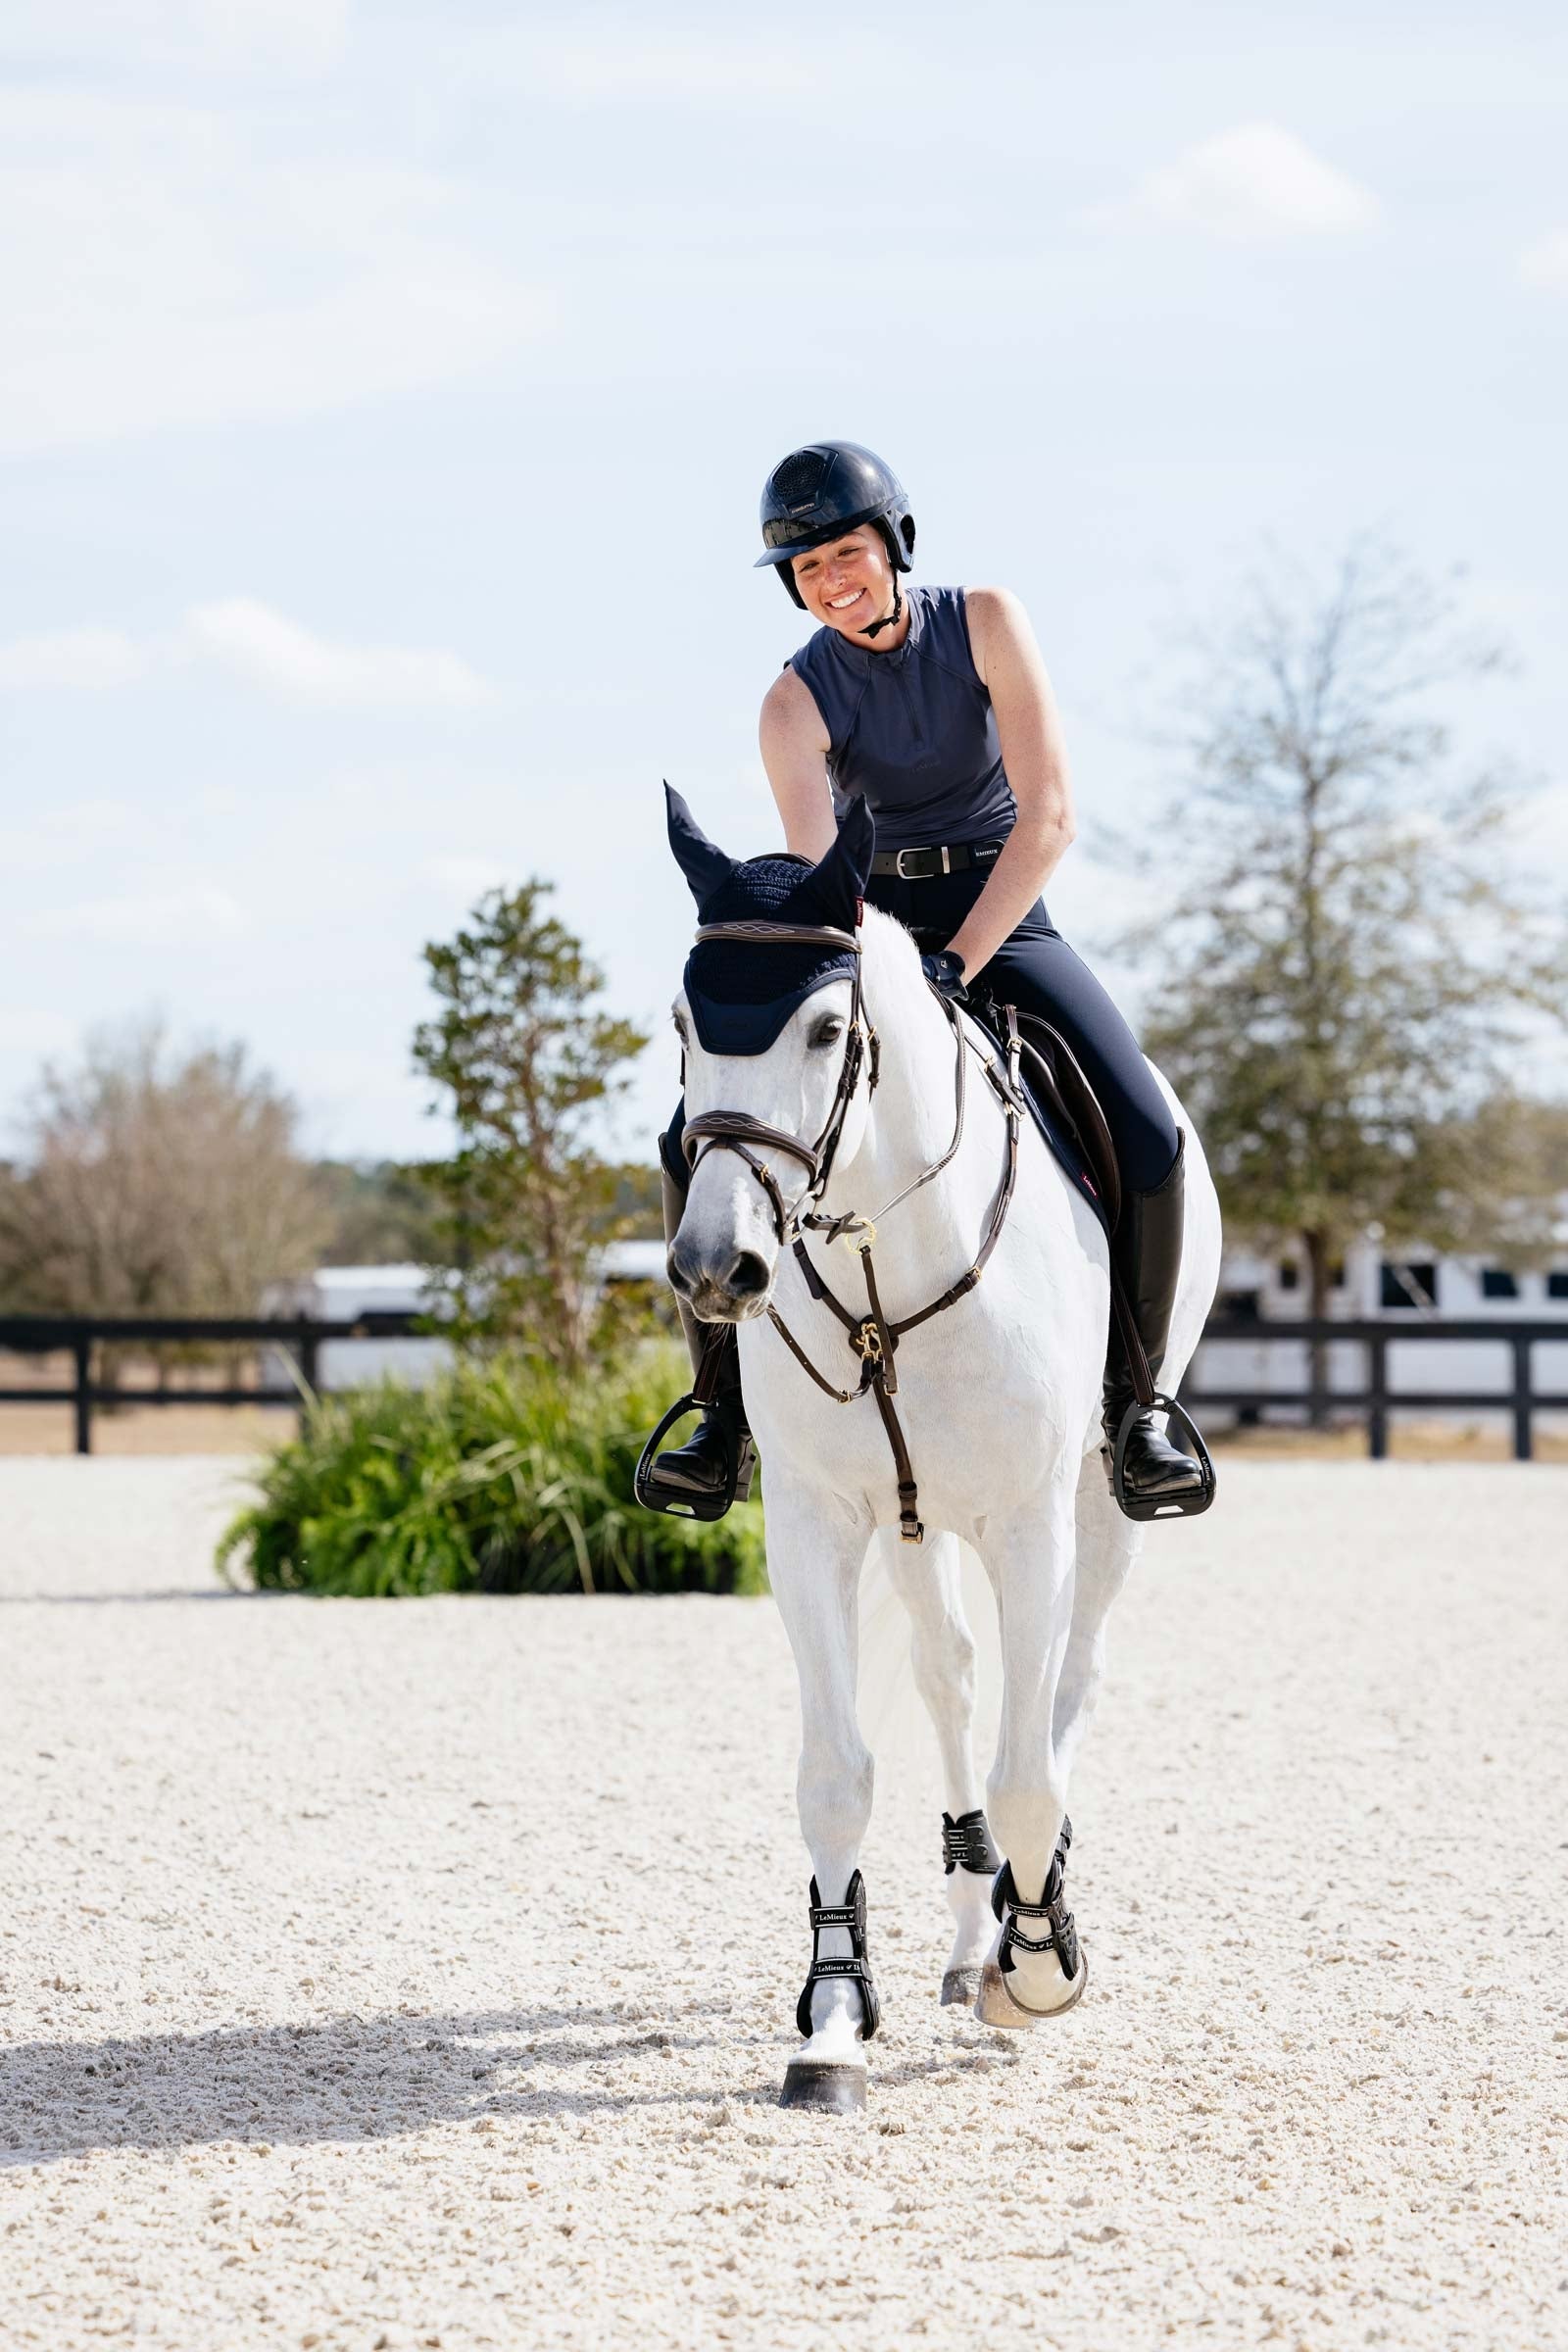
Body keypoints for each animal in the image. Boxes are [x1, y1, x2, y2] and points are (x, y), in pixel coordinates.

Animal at [653, 788, 1222, 2112]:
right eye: (684, 1023)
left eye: (824, 1028)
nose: (716, 1270)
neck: (879, 1257)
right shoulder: (815, 1522)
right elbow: (837, 1772)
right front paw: (832, 2019)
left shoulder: (1028, 1521)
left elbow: (1029, 1767)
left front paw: (1043, 1967)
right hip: (913, 1520)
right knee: (956, 1679)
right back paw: (970, 1939)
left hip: (1098, 1508)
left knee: (1064, 1688)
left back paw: (1021, 1922)